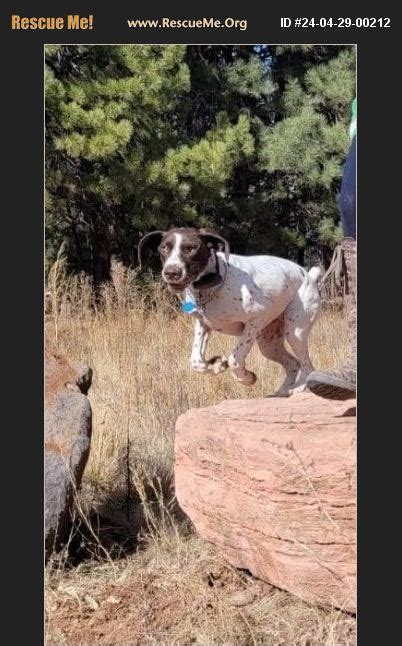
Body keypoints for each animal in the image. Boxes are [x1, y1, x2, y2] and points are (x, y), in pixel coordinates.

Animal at [140, 228, 322, 400]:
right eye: (164, 248)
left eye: (191, 248)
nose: (171, 272)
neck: (210, 287)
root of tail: (308, 275)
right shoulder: (203, 325)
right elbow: (195, 361)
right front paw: (216, 365)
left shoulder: (256, 319)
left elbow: (235, 358)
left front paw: (246, 378)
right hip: (269, 343)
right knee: (293, 364)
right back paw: (282, 391)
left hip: (294, 333)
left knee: (307, 366)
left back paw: (298, 389)